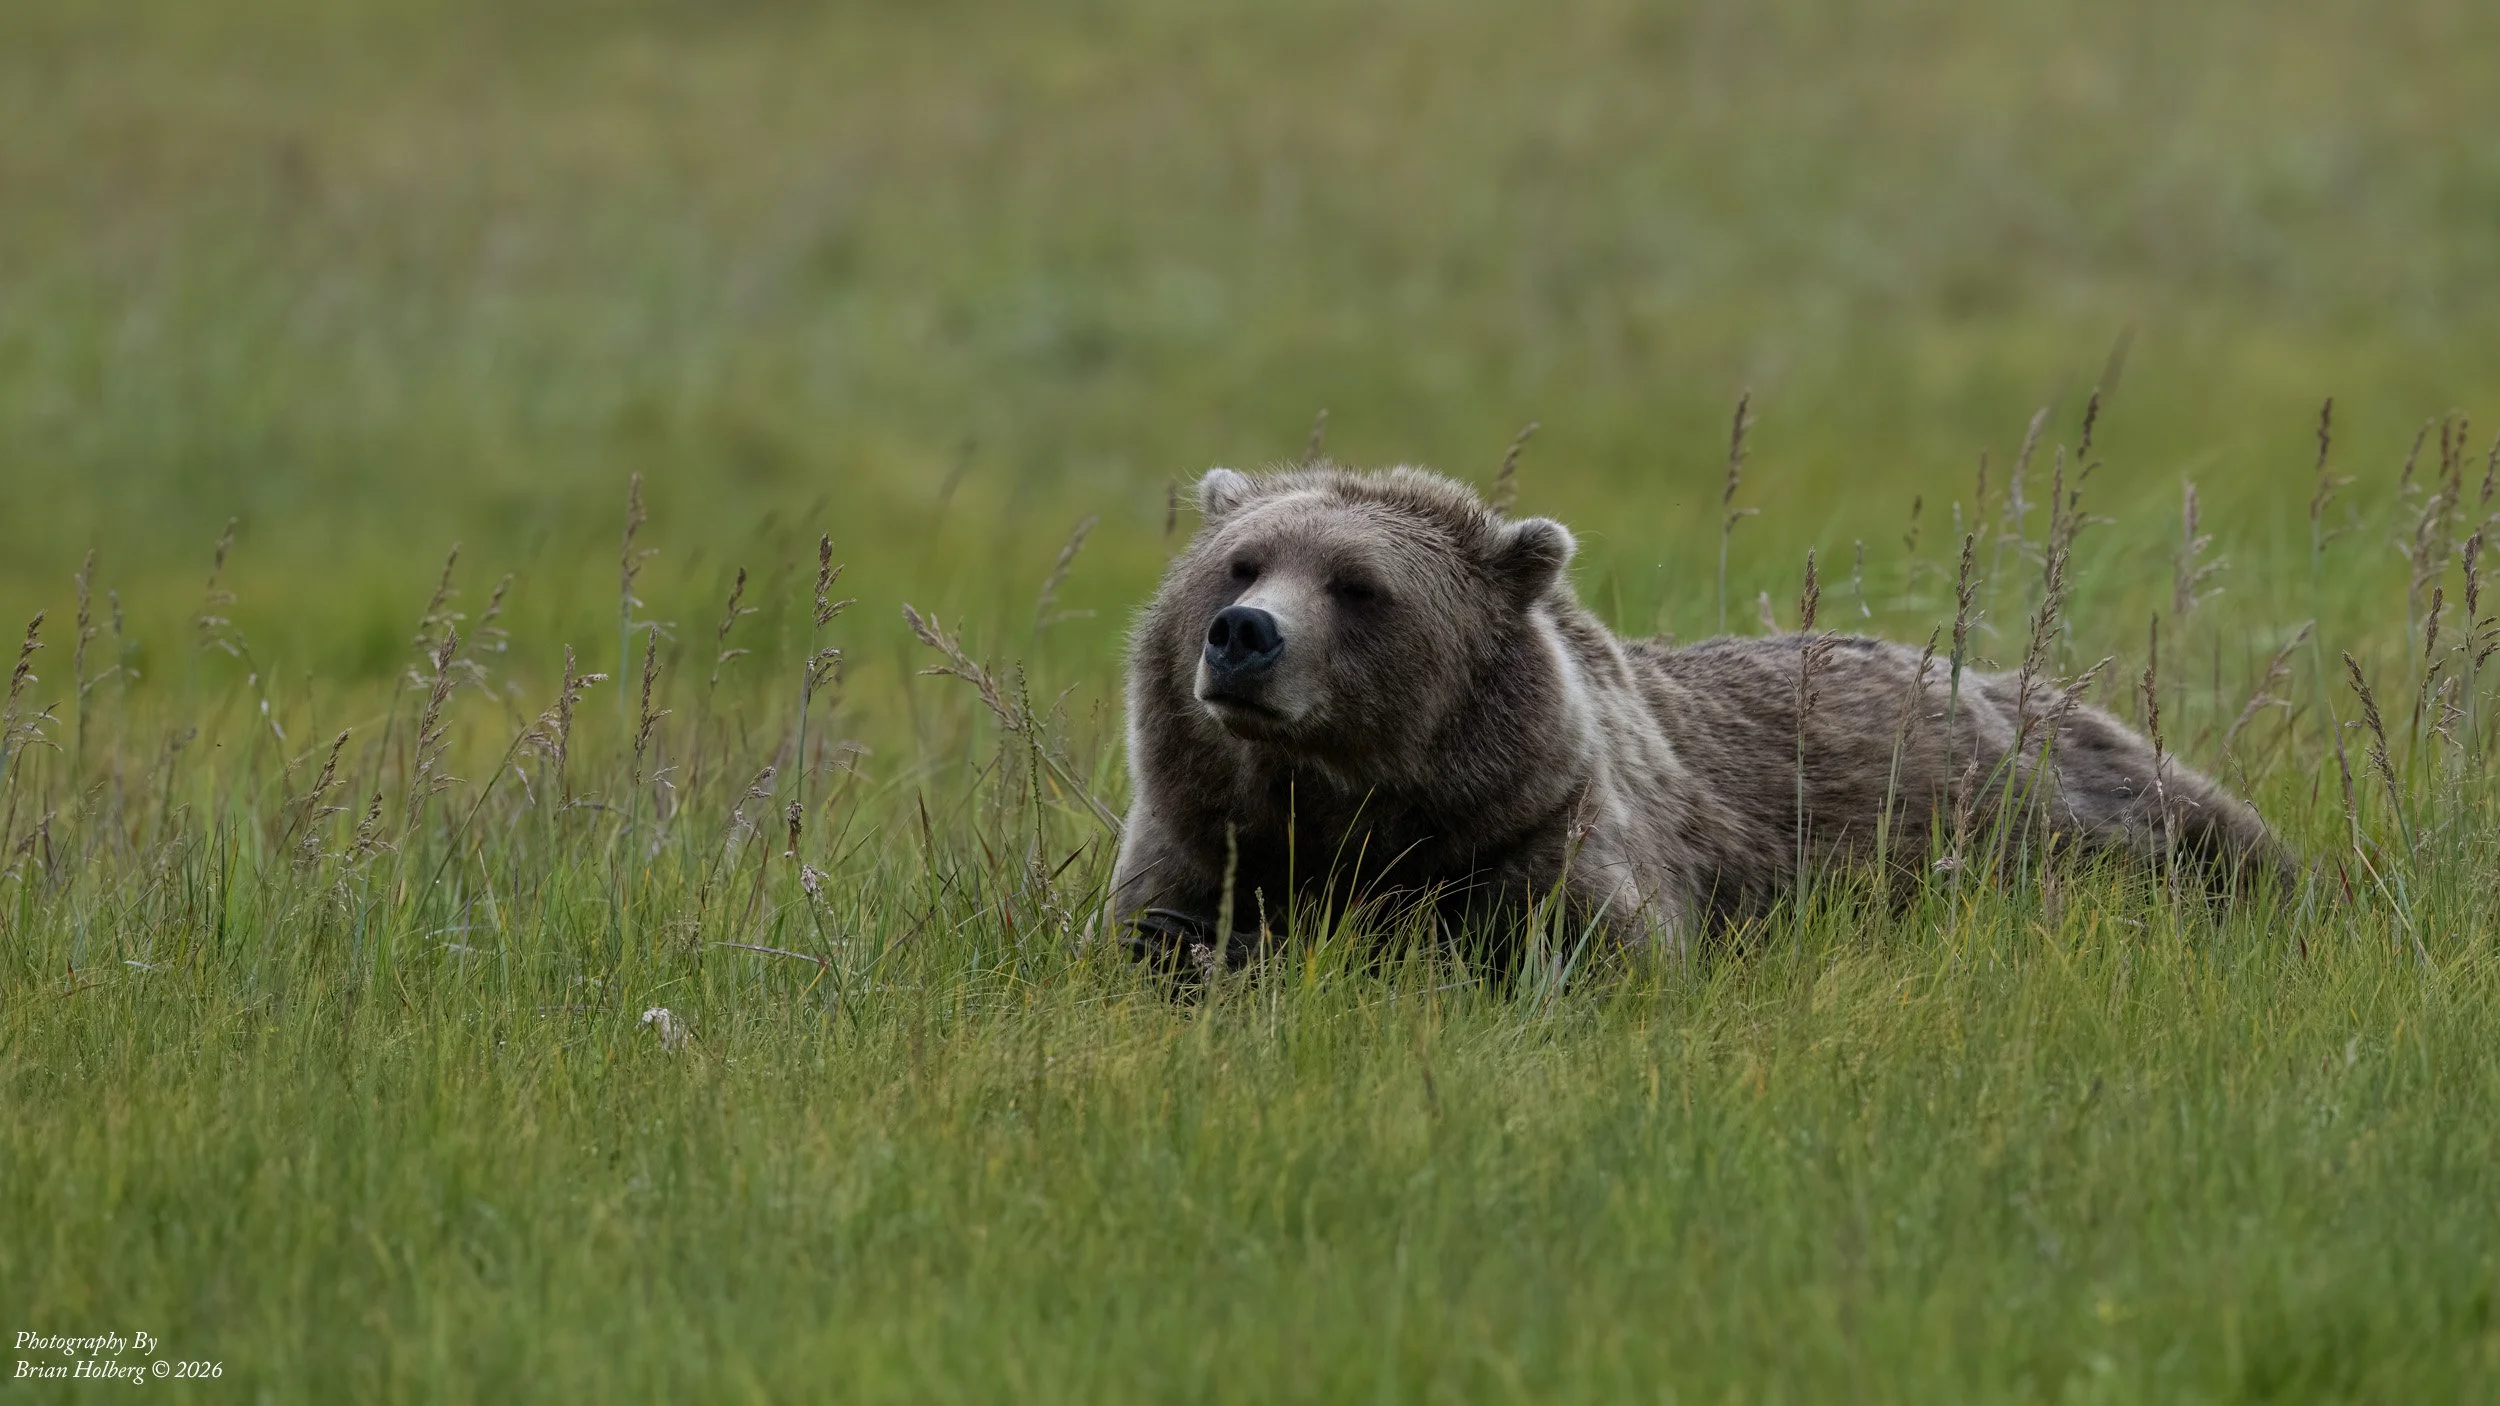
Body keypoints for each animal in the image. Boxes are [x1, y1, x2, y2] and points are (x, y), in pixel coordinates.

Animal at [1109, 462, 2290, 970]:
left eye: (1358, 585)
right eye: (1241, 561)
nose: (1245, 634)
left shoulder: (1533, 830)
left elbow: (1579, 952)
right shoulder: (1198, 832)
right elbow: (1143, 931)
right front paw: (1200, 951)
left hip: (2081, 804)